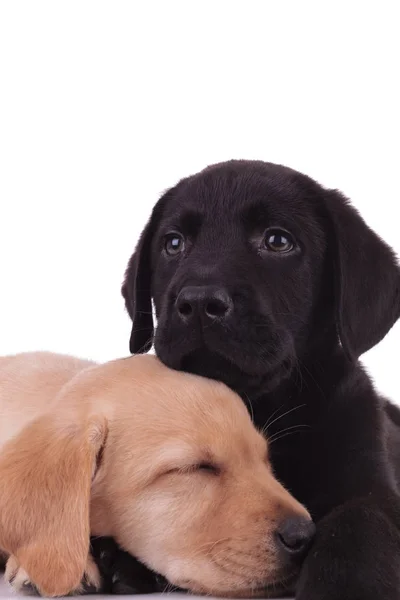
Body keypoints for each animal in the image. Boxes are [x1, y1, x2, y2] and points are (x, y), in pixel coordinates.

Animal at [116, 161, 400, 600]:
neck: (262, 406)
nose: (198, 301)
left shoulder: (372, 487)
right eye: (173, 244)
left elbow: (357, 527)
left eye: (278, 240)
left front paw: (344, 585)